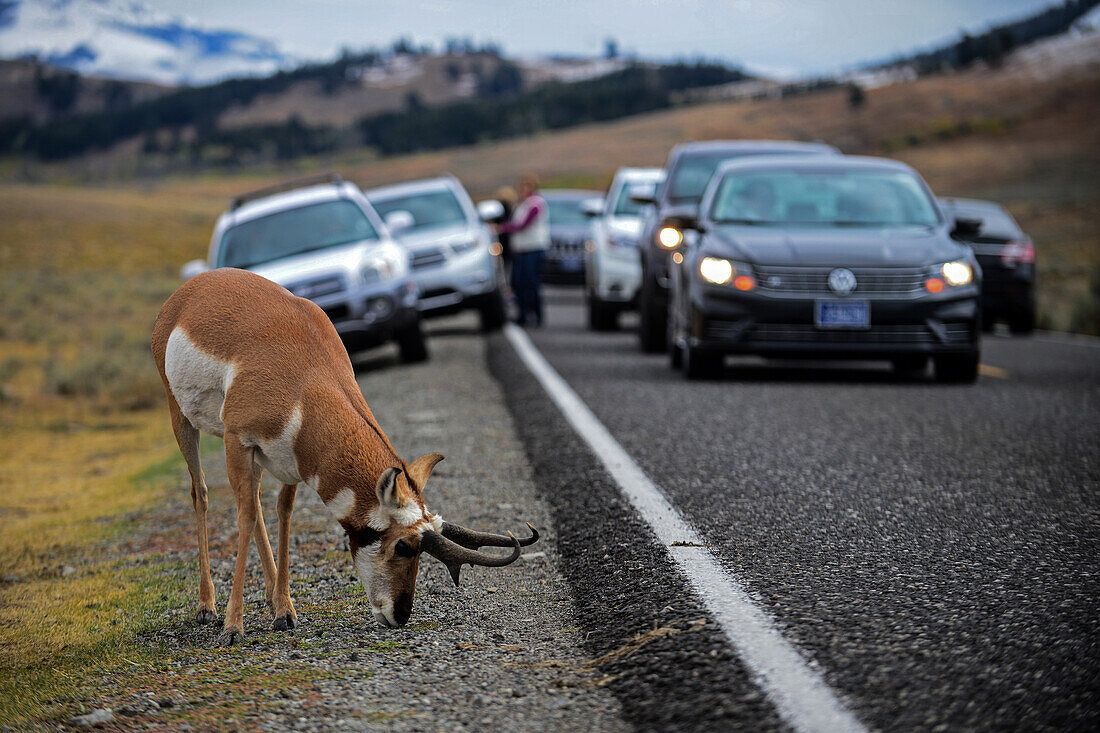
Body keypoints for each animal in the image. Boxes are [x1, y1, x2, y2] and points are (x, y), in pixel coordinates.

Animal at [150, 267, 536, 638]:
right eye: (403, 546)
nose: (401, 615)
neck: (306, 375)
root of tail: (192, 289)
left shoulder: (291, 462)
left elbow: (282, 513)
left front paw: (285, 612)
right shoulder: (238, 441)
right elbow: (243, 518)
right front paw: (233, 627)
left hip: (256, 459)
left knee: (255, 504)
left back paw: (270, 600)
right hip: (182, 420)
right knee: (202, 494)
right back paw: (207, 608)